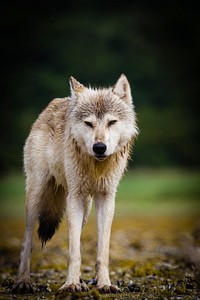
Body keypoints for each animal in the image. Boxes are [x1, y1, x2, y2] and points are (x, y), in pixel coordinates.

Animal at [12, 74, 138, 294]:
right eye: (88, 123)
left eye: (112, 122)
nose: (99, 147)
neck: (96, 166)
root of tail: (51, 106)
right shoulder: (75, 197)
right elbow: (73, 251)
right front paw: (70, 284)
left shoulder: (106, 198)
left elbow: (101, 251)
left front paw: (104, 284)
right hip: (37, 195)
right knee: (27, 242)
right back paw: (23, 281)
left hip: (85, 207)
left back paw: (81, 281)